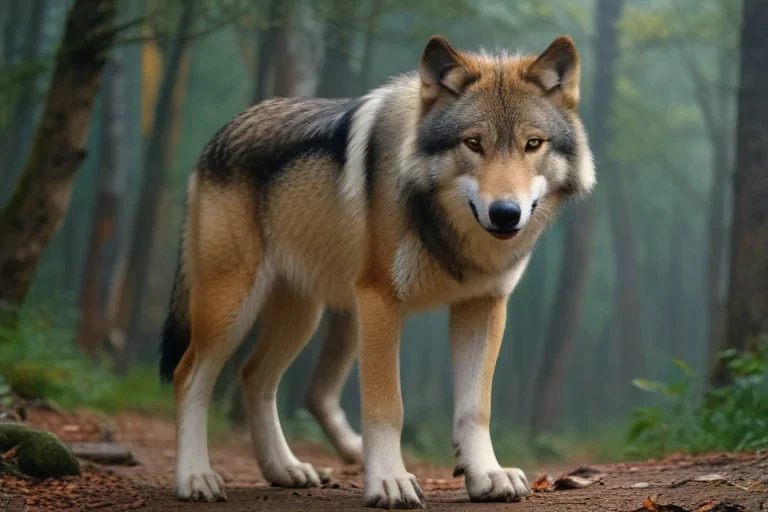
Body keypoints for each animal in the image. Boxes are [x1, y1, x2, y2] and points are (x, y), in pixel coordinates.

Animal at [158, 34, 595, 508]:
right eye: (473, 143)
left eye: (533, 144)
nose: (505, 213)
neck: (441, 227)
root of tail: (219, 136)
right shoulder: (380, 302)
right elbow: (387, 407)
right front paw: (389, 482)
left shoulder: (483, 305)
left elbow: (476, 408)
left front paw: (487, 475)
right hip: (233, 306)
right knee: (189, 375)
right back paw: (195, 477)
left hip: (303, 317)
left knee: (253, 376)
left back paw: (285, 469)